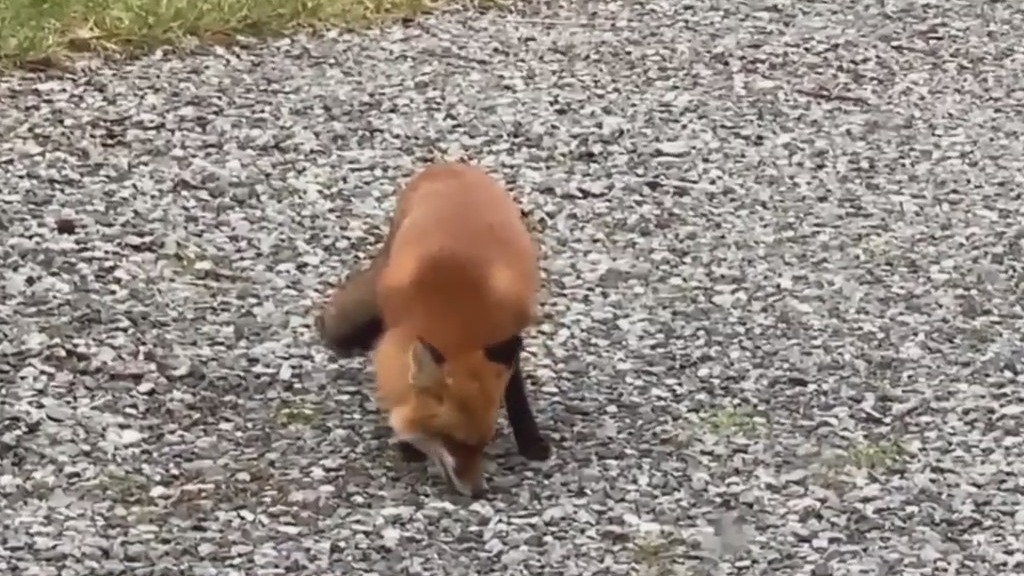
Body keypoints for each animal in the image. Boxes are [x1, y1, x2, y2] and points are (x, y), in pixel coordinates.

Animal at [316, 162, 551, 497]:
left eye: (483, 445)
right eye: (454, 442)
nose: (479, 492)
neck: (455, 315)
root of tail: (448, 163)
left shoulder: (507, 335)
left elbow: (516, 393)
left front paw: (531, 440)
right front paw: (407, 447)